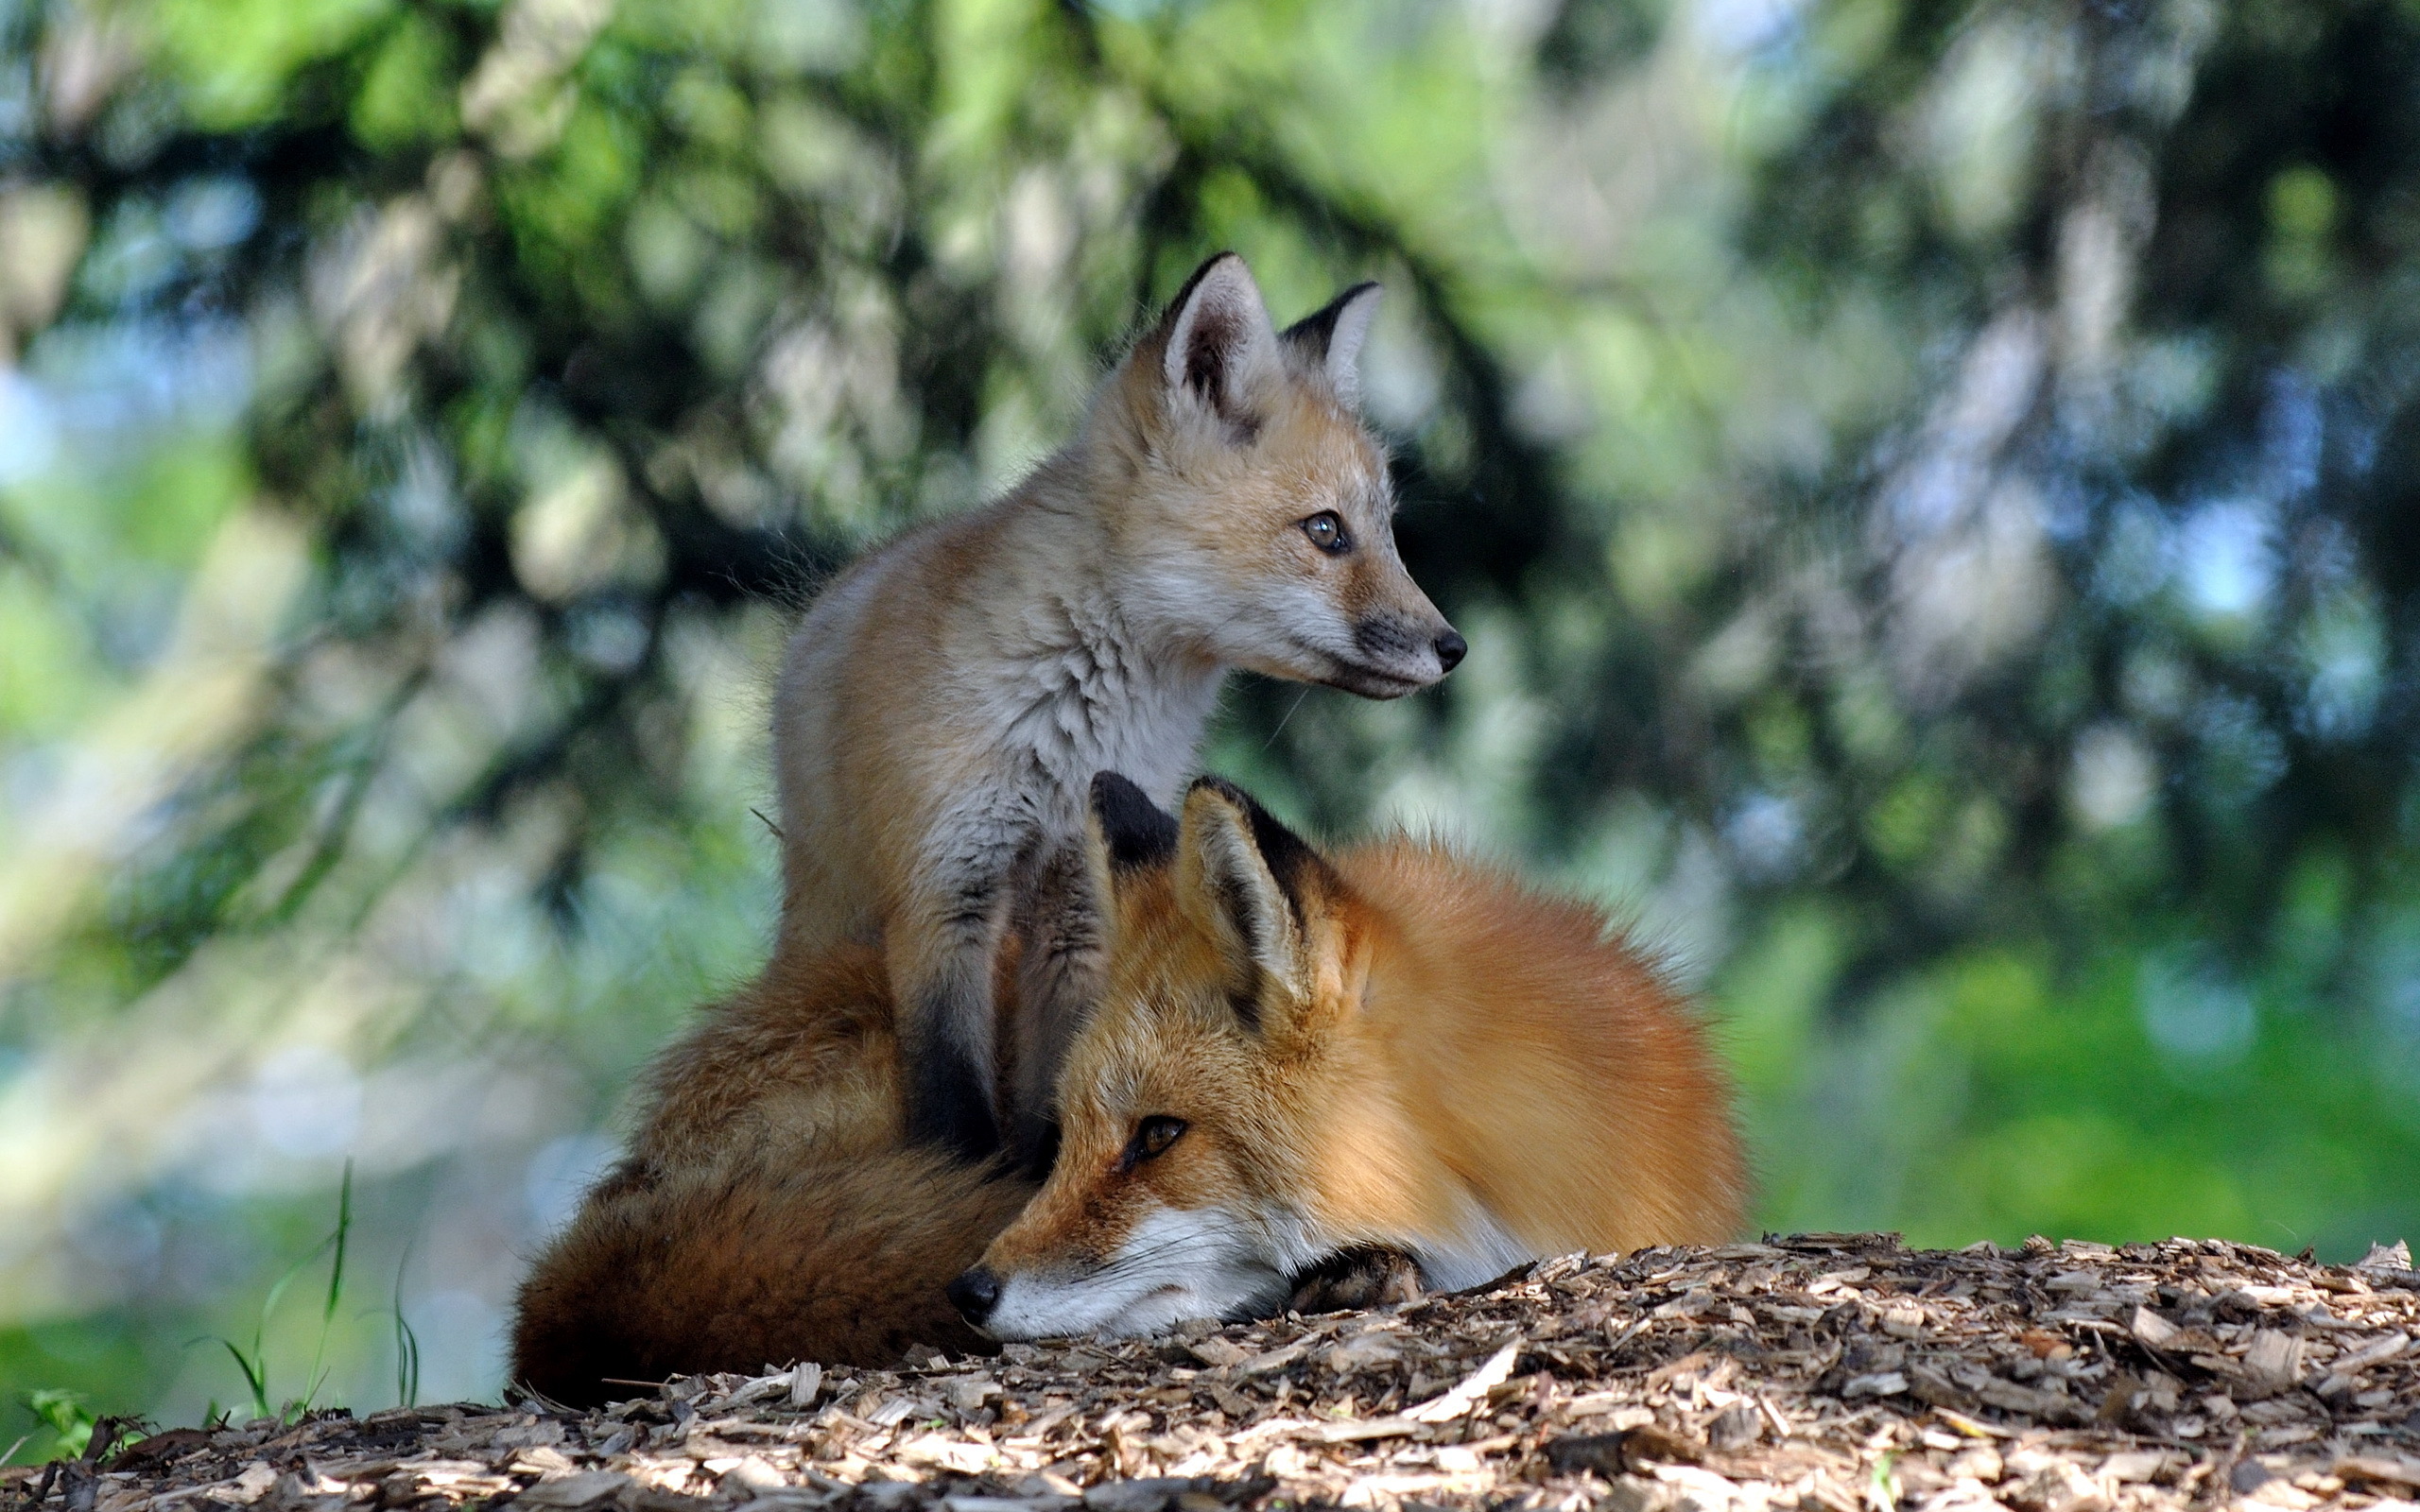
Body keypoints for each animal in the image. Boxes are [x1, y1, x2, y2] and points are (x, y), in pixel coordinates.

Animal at [774, 253, 1452, 1160]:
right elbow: (954, 1119)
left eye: (1387, 533)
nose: (1453, 647)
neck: (1077, 720)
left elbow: (1058, 1098)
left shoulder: (1081, 908)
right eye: (1325, 531)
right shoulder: (942, 896)